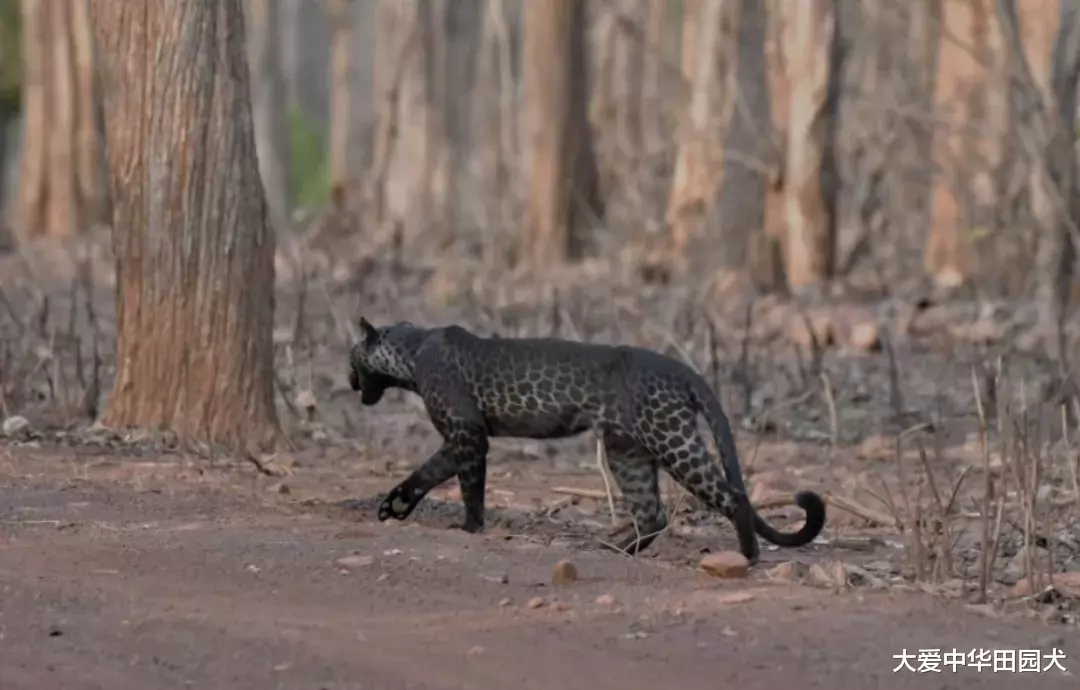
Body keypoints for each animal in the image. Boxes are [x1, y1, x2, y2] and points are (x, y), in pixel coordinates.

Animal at [347, 319, 825, 565]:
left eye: (352, 358)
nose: (349, 381)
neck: (411, 352)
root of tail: (682, 369)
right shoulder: (464, 438)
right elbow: (440, 474)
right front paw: (399, 507)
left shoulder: (467, 432)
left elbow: (462, 482)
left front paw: (464, 525)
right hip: (627, 450)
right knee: (652, 513)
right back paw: (614, 548)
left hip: (670, 438)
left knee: (729, 495)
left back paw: (747, 557)